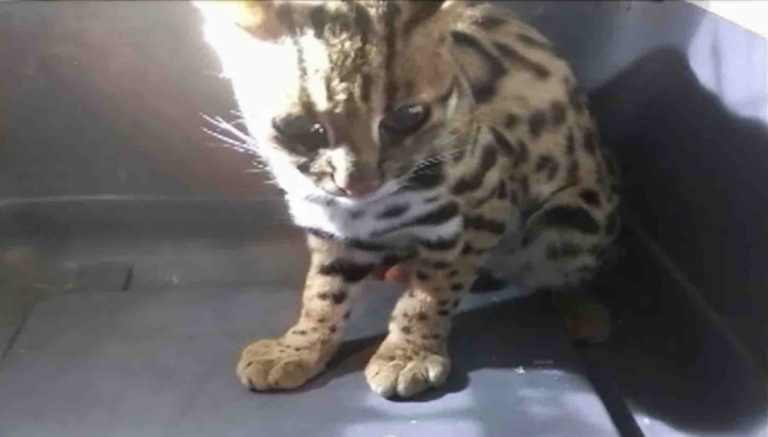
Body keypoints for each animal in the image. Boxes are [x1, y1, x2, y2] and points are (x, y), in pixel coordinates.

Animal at [196, 0, 620, 398]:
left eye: (406, 116)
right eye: (300, 127)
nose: (359, 185)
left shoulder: (483, 205)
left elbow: (435, 290)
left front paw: (407, 352)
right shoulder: (332, 224)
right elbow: (322, 292)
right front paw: (299, 347)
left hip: (574, 219)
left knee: (567, 275)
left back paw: (585, 313)